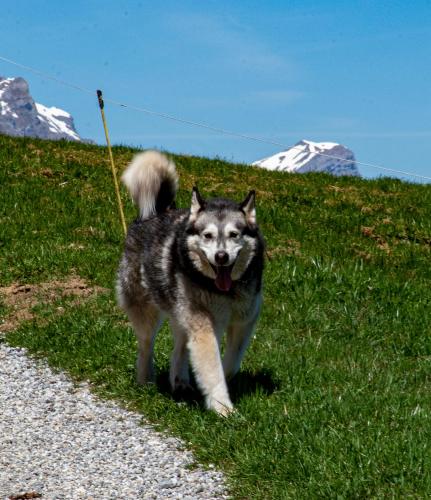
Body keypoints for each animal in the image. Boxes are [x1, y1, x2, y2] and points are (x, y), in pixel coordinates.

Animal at [116, 150, 264, 416]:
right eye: (208, 235)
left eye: (234, 235)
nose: (221, 256)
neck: (225, 292)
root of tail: (157, 211)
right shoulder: (203, 324)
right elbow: (212, 367)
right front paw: (222, 407)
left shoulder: (245, 319)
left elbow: (230, 363)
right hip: (147, 310)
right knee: (146, 345)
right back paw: (145, 380)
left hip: (182, 311)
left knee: (180, 347)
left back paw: (180, 381)